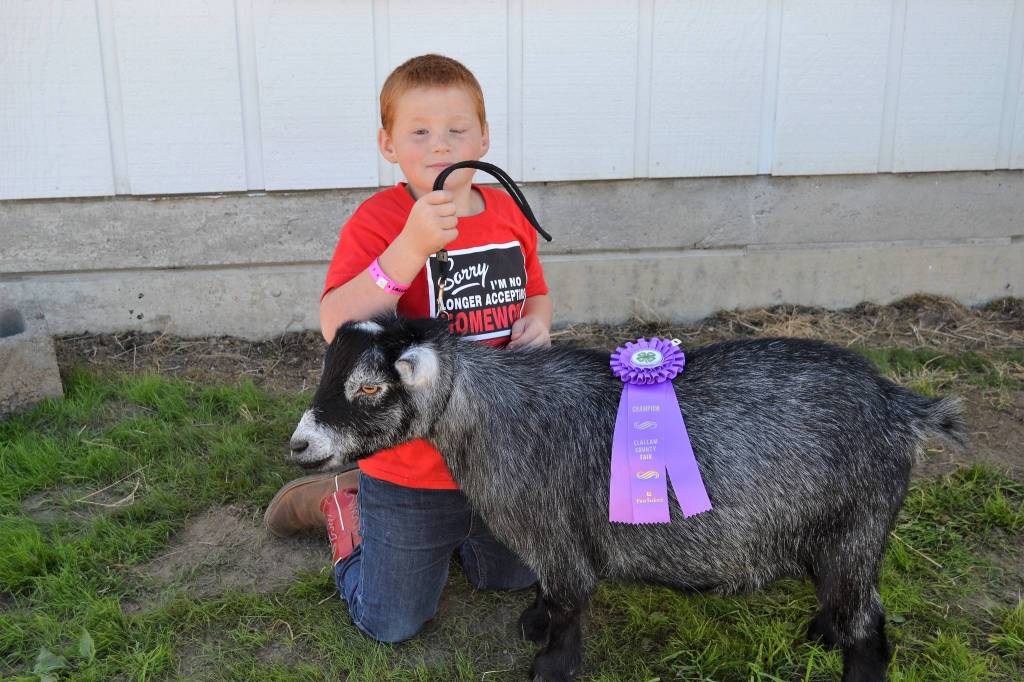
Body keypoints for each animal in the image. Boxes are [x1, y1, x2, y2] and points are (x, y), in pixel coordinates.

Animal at [288, 314, 965, 682]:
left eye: (369, 387)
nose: (300, 445)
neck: (493, 418)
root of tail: (901, 407)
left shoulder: (554, 530)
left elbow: (569, 601)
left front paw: (549, 665)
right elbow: (548, 592)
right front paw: (533, 620)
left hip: (858, 522)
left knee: (868, 623)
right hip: (839, 532)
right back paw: (822, 631)